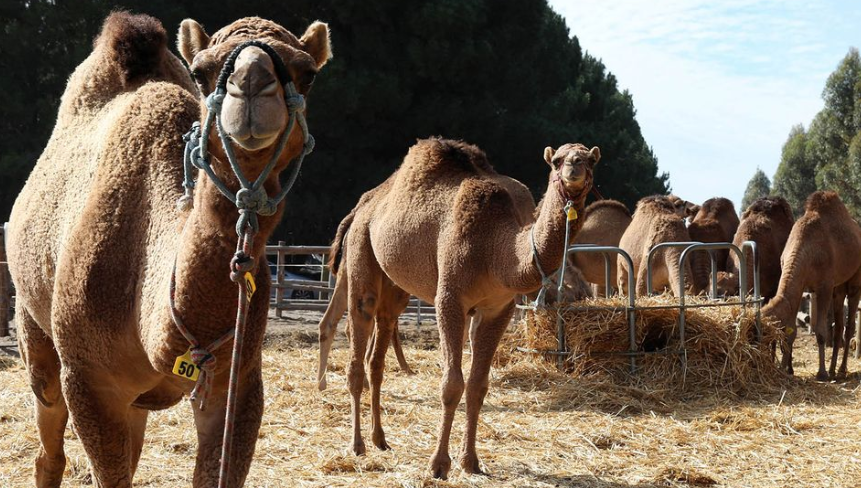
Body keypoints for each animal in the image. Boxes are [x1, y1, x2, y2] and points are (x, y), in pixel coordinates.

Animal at [6, 13, 330, 486]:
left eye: (307, 72)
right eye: (201, 71)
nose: (251, 82)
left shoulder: (238, 380)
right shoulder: (89, 381)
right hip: (35, 326)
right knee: (48, 437)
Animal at [332, 137, 596, 476]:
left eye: (591, 159)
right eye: (557, 161)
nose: (574, 167)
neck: (498, 249)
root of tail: (363, 205)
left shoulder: (499, 309)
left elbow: (477, 386)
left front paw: (470, 461)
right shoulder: (450, 299)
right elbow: (452, 384)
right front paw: (438, 464)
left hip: (394, 284)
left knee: (377, 355)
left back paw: (381, 439)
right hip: (360, 248)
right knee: (360, 325)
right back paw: (357, 446)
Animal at [764, 193, 856, 380]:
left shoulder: (824, 287)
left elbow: (820, 331)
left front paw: (821, 374)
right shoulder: (800, 286)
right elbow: (790, 330)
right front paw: (785, 370)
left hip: (855, 279)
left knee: (849, 325)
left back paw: (841, 370)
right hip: (839, 287)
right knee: (839, 326)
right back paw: (833, 370)